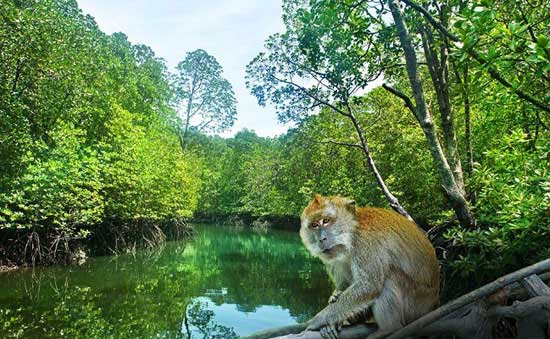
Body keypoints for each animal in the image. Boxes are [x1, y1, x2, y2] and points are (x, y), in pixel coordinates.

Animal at [300, 194, 442, 339]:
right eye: (314, 225)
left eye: (326, 221)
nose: (321, 239)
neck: (353, 232)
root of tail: (434, 303)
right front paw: (335, 297)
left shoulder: (366, 243)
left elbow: (368, 286)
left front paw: (318, 320)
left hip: (416, 306)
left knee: (388, 279)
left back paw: (388, 329)